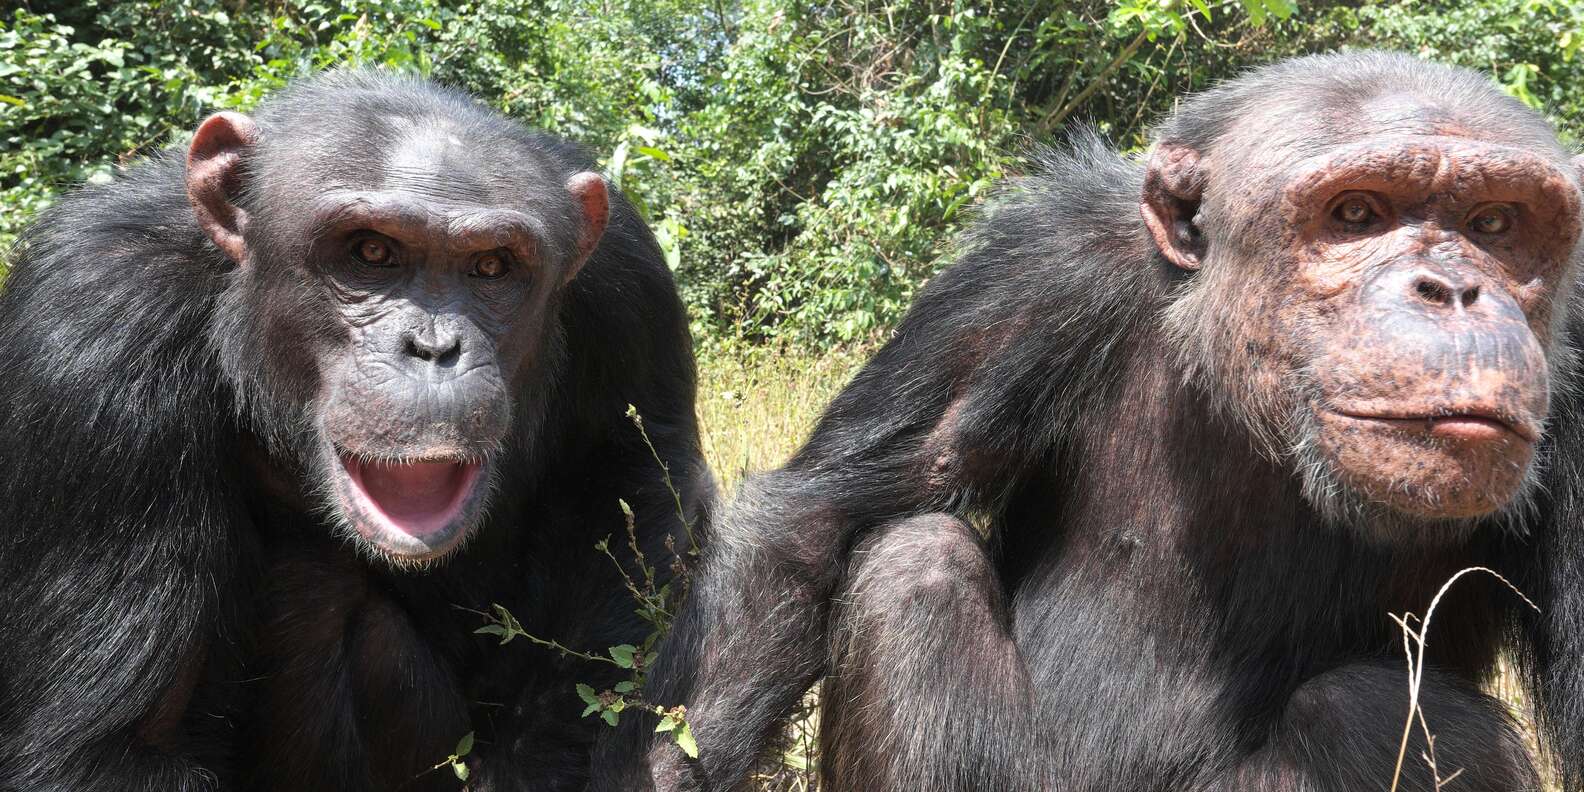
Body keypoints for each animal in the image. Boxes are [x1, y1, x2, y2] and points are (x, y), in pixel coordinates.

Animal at [0, 71, 712, 788]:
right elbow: (113, 750)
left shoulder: (630, 276)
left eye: (492, 266)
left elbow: (627, 477)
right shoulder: (92, 326)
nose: (433, 349)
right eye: (371, 252)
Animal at [589, 51, 1584, 792]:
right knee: (912, 565)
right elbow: (818, 523)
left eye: (1497, 223)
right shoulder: (1040, 271)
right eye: (1356, 213)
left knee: (1380, 712)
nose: (1451, 289)